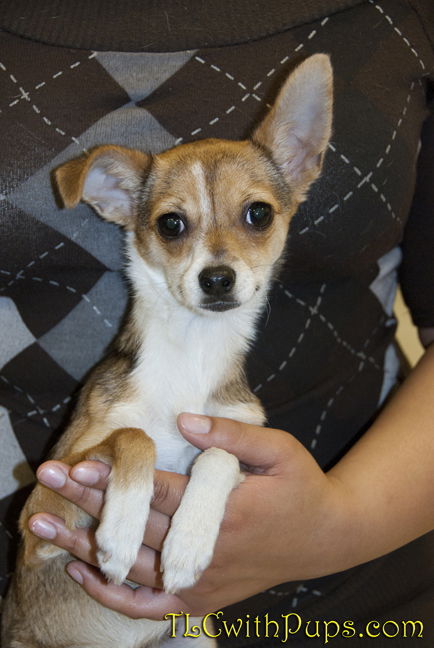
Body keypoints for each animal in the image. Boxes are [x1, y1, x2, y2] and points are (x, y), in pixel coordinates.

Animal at [2, 55, 332, 648]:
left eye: (259, 214)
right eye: (170, 223)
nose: (217, 279)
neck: (192, 351)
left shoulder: (241, 448)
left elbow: (220, 454)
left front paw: (186, 544)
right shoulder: (43, 507)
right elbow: (135, 436)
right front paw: (120, 534)